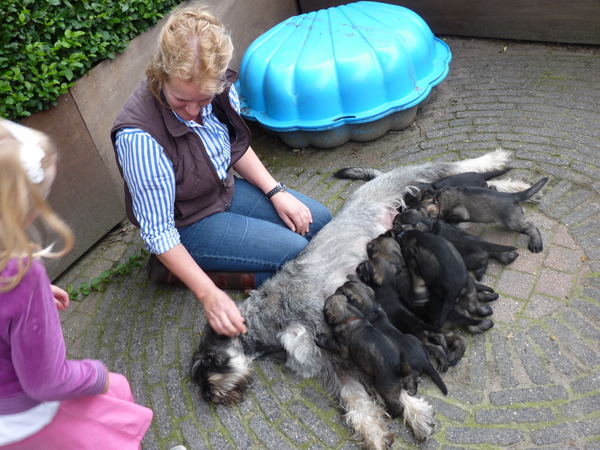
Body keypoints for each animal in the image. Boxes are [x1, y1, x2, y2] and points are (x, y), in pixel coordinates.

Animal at [192, 149, 516, 446]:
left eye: (210, 358)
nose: (207, 395)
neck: (272, 317)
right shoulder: (329, 358)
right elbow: (354, 397)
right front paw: (374, 433)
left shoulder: (343, 333)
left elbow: (386, 381)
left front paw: (415, 415)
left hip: (414, 177)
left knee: (453, 167)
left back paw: (503, 169)